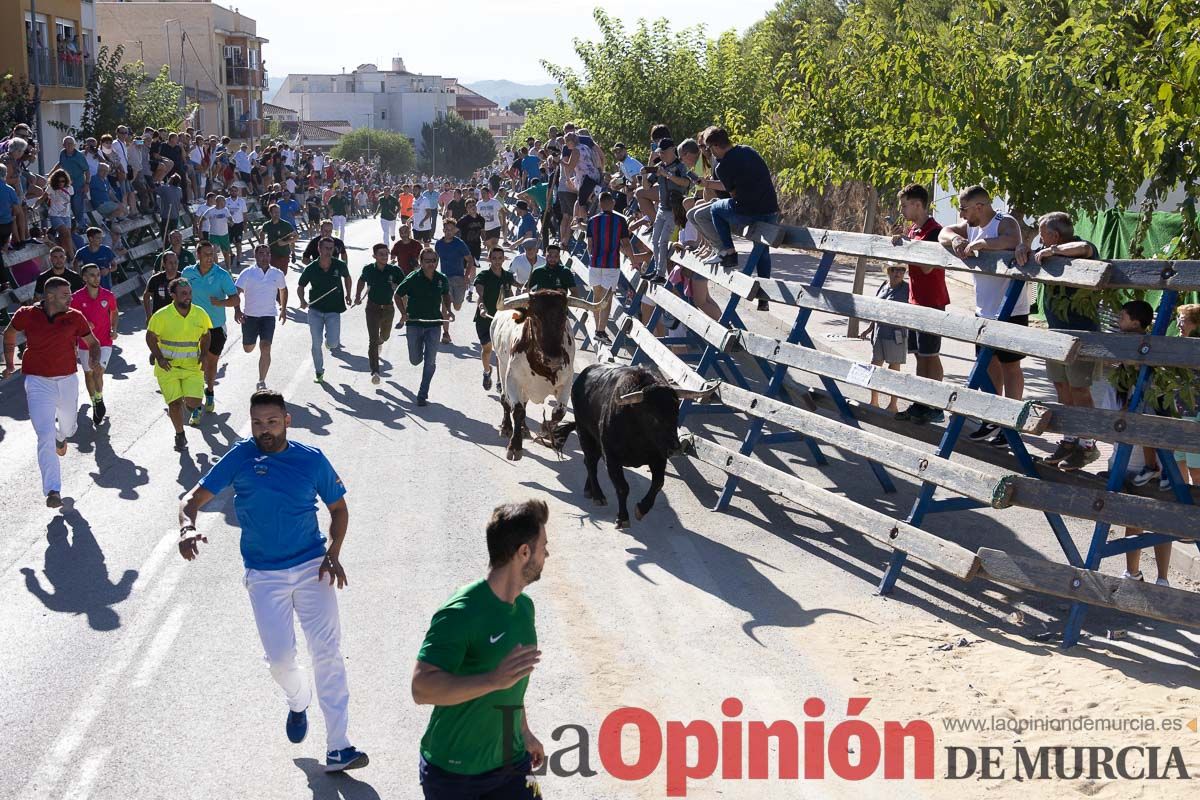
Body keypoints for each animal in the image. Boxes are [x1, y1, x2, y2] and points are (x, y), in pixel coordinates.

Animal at [489, 291, 597, 460]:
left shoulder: (566, 383)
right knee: (505, 400)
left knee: (524, 402)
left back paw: (525, 428)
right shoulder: (512, 380)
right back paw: (506, 427)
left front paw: (545, 429)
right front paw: (515, 446)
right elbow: (517, 410)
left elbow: (559, 413)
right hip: (502, 365)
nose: (554, 359)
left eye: (564, 314)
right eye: (535, 316)